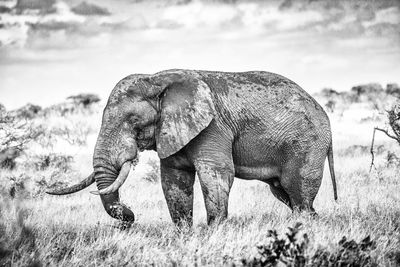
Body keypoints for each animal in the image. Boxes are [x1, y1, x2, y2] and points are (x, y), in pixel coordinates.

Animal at [48, 69, 340, 226]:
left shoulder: (212, 126)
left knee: (297, 192)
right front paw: (183, 235)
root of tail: (324, 114)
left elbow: (217, 174)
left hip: (306, 144)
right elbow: (173, 180)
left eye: (134, 122)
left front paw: (215, 232)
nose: (130, 219)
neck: (156, 80)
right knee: (284, 193)